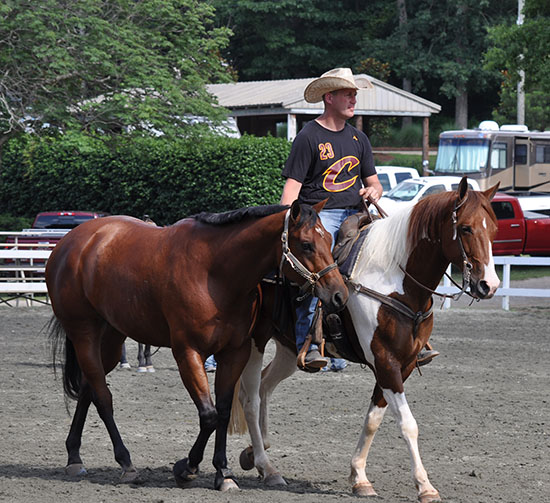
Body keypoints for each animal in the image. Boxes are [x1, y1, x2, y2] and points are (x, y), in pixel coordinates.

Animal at [46, 201, 350, 492]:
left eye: (329, 240)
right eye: (307, 244)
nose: (339, 294)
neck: (214, 273)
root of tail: (71, 241)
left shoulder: (234, 353)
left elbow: (223, 412)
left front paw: (223, 473)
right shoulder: (188, 353)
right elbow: (209, 415)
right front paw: (187, 468)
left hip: (111, 338)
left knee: (89, 388)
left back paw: (74, 457)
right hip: (84, 334)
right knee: (103, 398)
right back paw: (125, 463)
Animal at [235, 179, 502, 502]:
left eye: (494, 229)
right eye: (465, 228)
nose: (489, 285)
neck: (394, 281)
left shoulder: (403, 364)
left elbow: (374, 419)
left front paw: (359, 477)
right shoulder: (385, 361)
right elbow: (408, 424)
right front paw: (425, 485)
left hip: (289, 349)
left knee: (264, 387)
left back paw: (257, 453)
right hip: (254, 342)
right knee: (249, 397)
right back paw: (264, 463)